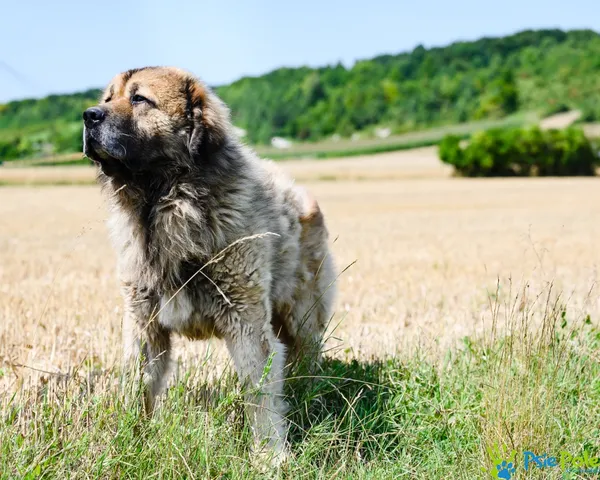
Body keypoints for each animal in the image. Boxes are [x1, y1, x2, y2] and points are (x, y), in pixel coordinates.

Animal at [83, 66, 338, 462]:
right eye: (108, 98)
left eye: (139, 99)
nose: (89, 115)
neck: (165, 205)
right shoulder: (144, 323)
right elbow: (138, 386)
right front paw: (128, 443)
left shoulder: (246, 320)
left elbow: (259, 392)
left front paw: (270, 456)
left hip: (302, 313)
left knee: (308, 353)